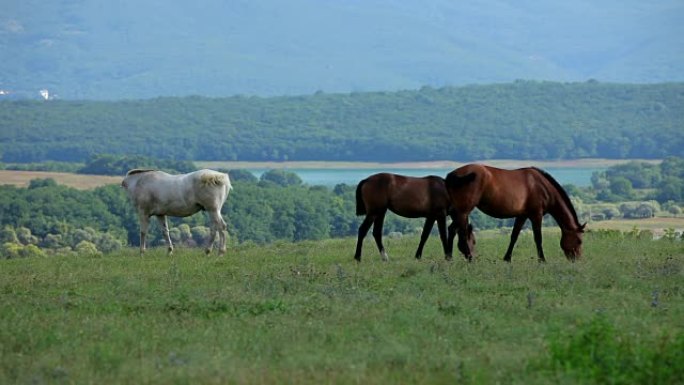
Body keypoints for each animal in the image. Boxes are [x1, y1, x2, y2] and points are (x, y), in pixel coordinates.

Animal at [446, 164, 584, 262]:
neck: (541, 186)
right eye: (579, 241)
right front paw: (542, 260)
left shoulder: (522, 215)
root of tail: (452, 175)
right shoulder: (536, 215)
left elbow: (514, 236)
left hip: (458, 212)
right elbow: (538, 238)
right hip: (464, 211)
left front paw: (507, 258)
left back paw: (449, 257)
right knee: (461, 232)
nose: (576, 260)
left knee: (452, 230)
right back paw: (468, 258)